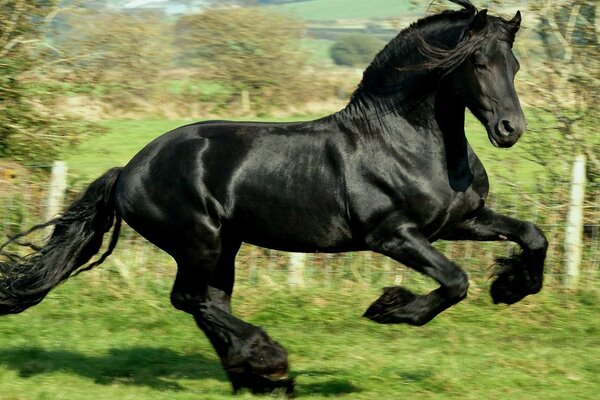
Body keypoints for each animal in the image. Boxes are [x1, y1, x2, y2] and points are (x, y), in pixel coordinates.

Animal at [0, 0, 548, 394]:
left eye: (515, 64)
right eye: (477, 62)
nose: (510, 129)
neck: (404, 141)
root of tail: (127, 172)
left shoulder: (460, 221)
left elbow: (532, 236)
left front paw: (511, 287)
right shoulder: (394, 235)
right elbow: (454, 281)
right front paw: (390, 309)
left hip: (225, 245)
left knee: (208, 301)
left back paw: (255, 377)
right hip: (199, 240)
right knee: (190, 299)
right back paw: (269, 360)